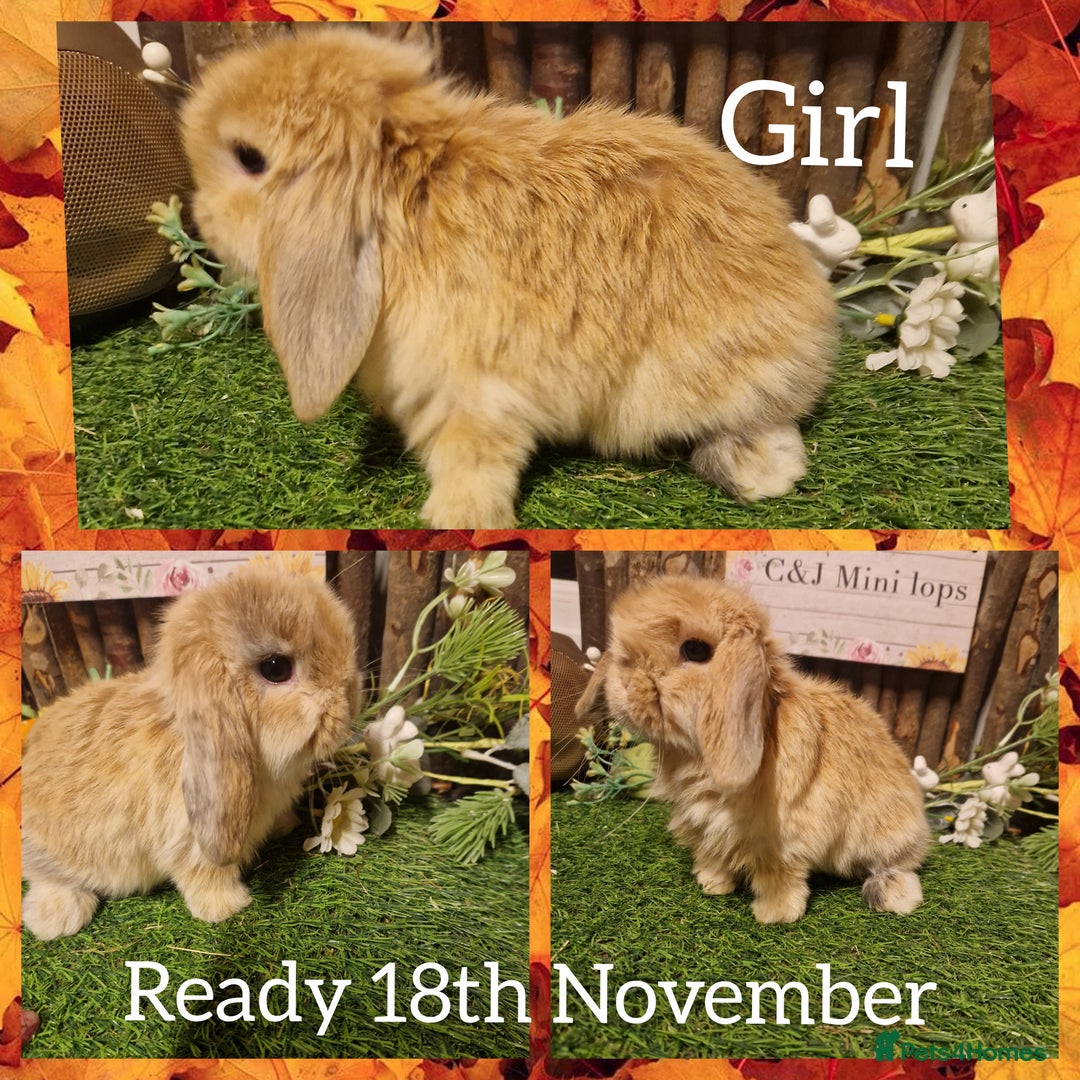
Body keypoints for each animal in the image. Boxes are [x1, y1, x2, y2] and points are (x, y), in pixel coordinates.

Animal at [21, 564, 359, 940]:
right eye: (276, 668)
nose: (349, 702)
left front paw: (286, 825)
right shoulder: (190, 841)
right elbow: (205, 874)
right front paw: (227, 907)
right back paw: (57, 919)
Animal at [181, 29, 837, 529]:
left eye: (249, 158)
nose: (200, 219)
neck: (401, 200)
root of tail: (818, 325)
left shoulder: (477, 395)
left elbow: (472, 464)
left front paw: (456, 522)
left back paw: (758, 472)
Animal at [576, 574, 929, 924]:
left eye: (695, 649)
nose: (622, 688)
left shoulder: (782, 844)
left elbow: (779, 878)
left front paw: (774, 915)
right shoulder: (706, 826)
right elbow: (713, 856)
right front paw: (711, 884)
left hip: (886, 832)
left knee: (898, 863)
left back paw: (892, 895)